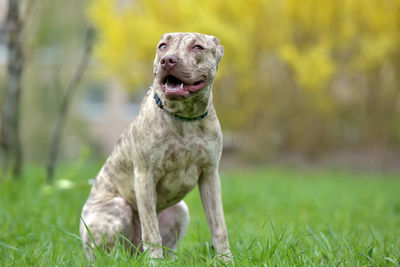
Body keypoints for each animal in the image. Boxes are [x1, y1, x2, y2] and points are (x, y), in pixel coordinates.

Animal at [79, 32, 231, 262]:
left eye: (197, 47)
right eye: (163, 46)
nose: (168, 60)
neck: (184, 118)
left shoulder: (210, 176)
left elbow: (219, 225)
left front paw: (225, 260)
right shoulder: (145, 176)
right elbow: (151, 231)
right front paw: (155, 262)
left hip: (180, 210)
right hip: (116, 209)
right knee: (111, 252)